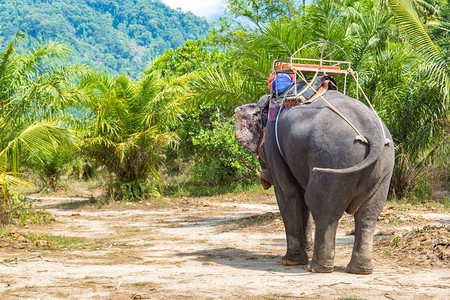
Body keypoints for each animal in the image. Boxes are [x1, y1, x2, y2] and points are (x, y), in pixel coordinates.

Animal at [236, 86, 394, 274]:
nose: (263, 177)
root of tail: (373, 133)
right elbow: (300, 196)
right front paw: (305, 250)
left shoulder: (273, 145)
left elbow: (288, 191)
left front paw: (290, 261)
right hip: (383, 166)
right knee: (369, 213)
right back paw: (359, 270)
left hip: (333, 160)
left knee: (321, 207)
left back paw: (317, 268)